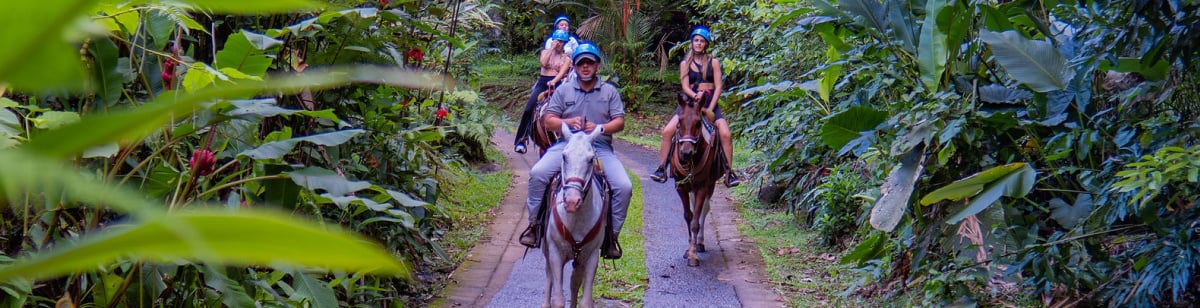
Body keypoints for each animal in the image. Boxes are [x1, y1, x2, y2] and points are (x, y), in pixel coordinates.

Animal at [542, 122, 604, 306]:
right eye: (564, 156)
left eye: (590, 159)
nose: (571, 201)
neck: (576, 219)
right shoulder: (555, 252)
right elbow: (558, 299)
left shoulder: (591, 256)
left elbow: (585, 300)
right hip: (547, 249)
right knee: (549, 276)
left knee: (574, 281)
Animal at [667, 92, 720, 264]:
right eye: (679, 122)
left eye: (698, 123)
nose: (685, 153)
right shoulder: (680, 186)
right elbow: (688, 216)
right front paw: (688, 249)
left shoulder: (703, 186)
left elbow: (696, 220)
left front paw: (693, 254)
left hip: (710, 184)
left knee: (705, 208)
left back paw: (700, 243)